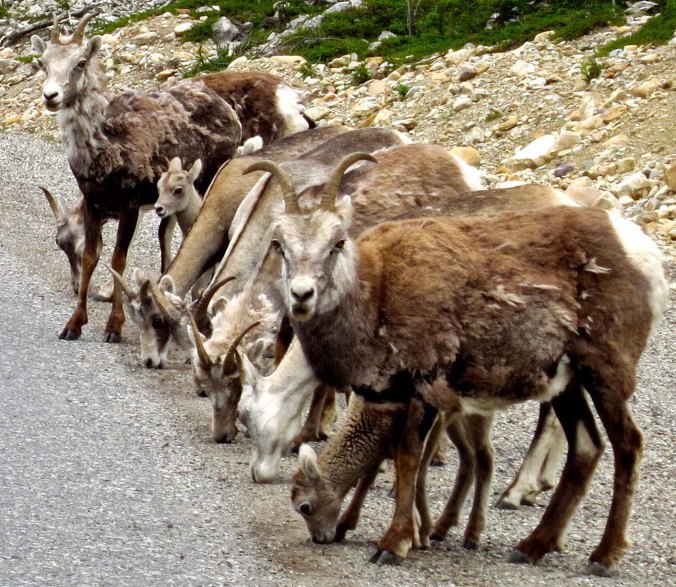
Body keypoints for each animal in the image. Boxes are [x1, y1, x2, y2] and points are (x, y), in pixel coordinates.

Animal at [31, 13, 242, 342]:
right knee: (167, 235)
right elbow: (93, 257)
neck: (105, 150)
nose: (50, 96)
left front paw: (114, 327)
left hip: (206, 182)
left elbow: (118, 260)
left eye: (80, 62)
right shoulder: (95, 204)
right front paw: (74, 324)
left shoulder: (129, 206)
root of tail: (229, 112)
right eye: (43, 62)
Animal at [261, 152, 668, 575]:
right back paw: (531, 546)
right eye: (279, 244)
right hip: (566, 385)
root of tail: (642, 252)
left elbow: (408, 460)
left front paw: (395, 544)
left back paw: (603, 555)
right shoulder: (396, 397)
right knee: (586, 448)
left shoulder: (423, 387)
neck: (377, 293)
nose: (302, 295)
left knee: (627, 445)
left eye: (337, 242)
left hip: (605, 375)